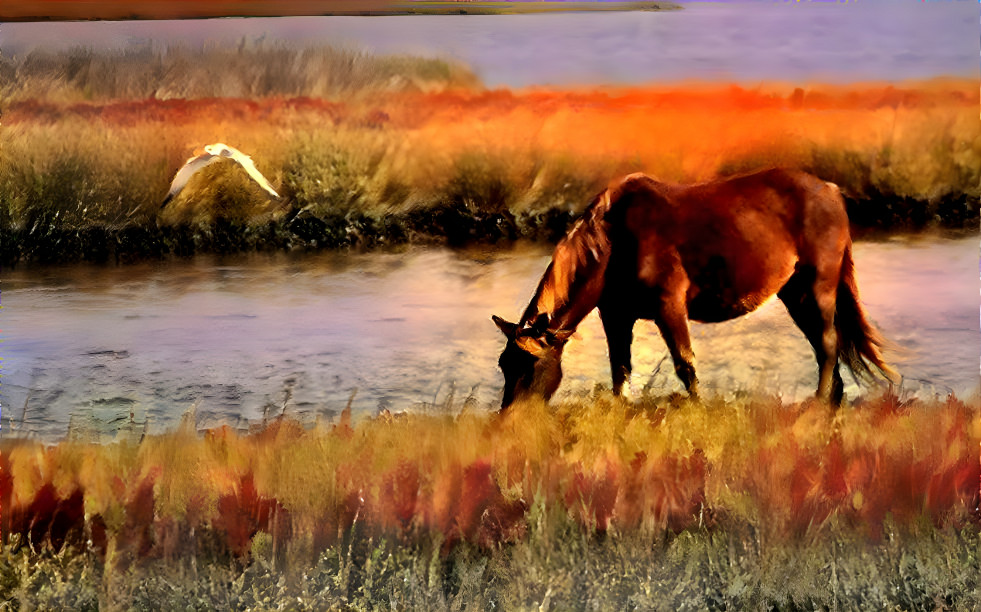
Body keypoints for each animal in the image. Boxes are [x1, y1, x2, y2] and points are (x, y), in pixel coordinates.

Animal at [494, 167, 892, 412]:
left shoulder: (669, 306)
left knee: (827, 342)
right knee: (824, 343)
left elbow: (685, 364)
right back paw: (832, 401)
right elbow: (619, 367)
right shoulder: (616, 315)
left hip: (819, 286)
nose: (508, 418)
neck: (615, 241)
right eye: (503, 364)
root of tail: (831, 190)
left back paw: (819, 402)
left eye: (530, 366)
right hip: (795, 293)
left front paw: (698, 410)